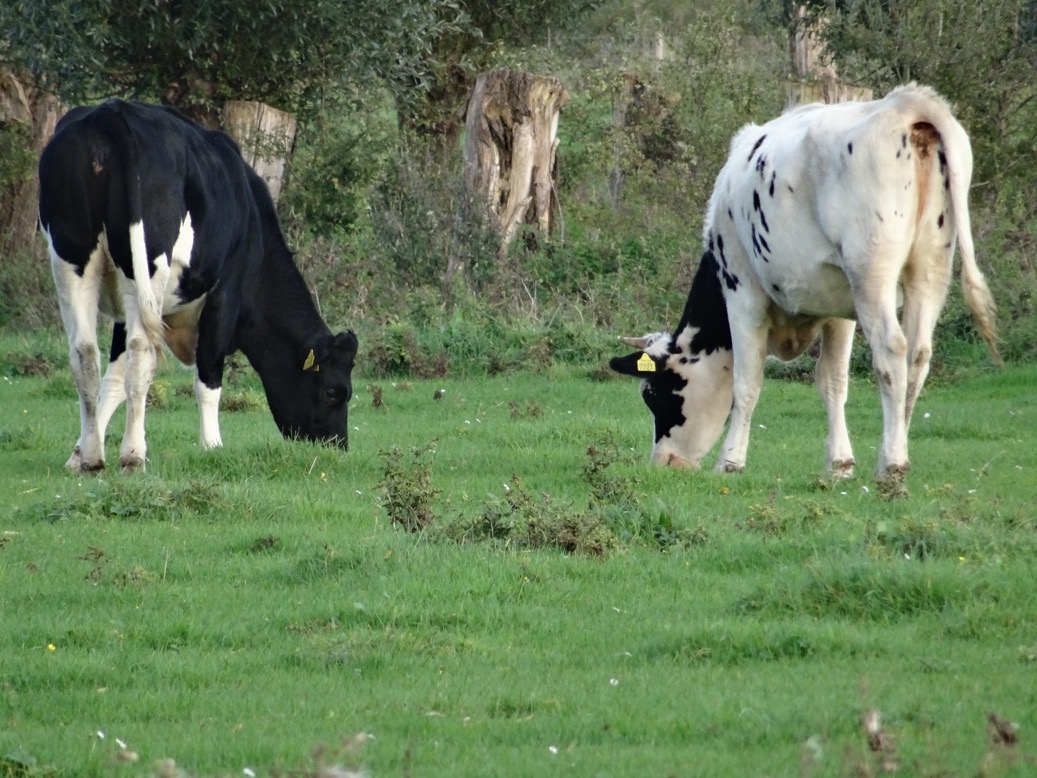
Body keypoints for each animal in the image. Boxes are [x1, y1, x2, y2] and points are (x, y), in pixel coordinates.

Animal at [38, 99, 359, 473]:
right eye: (333, 392)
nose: (336, 447)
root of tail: (111, 111)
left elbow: (114, 378)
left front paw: (80, 452)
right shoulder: (224, 295)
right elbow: (209, 376)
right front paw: (213, 446)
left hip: (72, 259)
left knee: (85, 353)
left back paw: (93, 458)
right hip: (148, 264)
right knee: (141, 352)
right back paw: (133, 455)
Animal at [610, 83, 1000, 482]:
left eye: (654, 394)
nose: (664, 462)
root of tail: (906, 104)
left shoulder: (743, 293)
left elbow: (746, 382)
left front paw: (730, 461)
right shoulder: (839, 309)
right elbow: (833, 382)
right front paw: (839, 464)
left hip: (871, 270)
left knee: (892, 351)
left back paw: (891, 463)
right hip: (930, 267)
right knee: (918, 356)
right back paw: (896, 454)